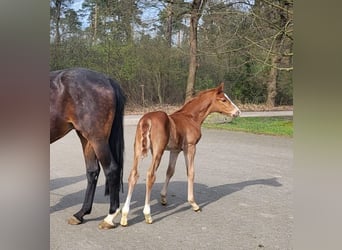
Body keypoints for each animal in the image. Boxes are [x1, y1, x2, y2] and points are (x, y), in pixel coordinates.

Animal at [50, 67, 126, 229]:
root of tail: (107, 79)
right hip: (86, 139)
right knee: (92, 172)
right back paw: (80, 214)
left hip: (97, 139)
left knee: (111, 169)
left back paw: (109, 217)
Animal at [120, 82, 240, 227]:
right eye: (223, 100)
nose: (237, 112)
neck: (191, 117)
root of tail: (147, 120)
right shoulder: (190, 147)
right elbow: (191, 172)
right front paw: (194, 204)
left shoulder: (175, 150)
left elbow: (170, 171)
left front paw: (163, 198)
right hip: (158, 151)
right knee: (150, 175)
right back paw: (147, 214)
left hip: (137, 150)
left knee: (133, 175)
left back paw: (124, 215)